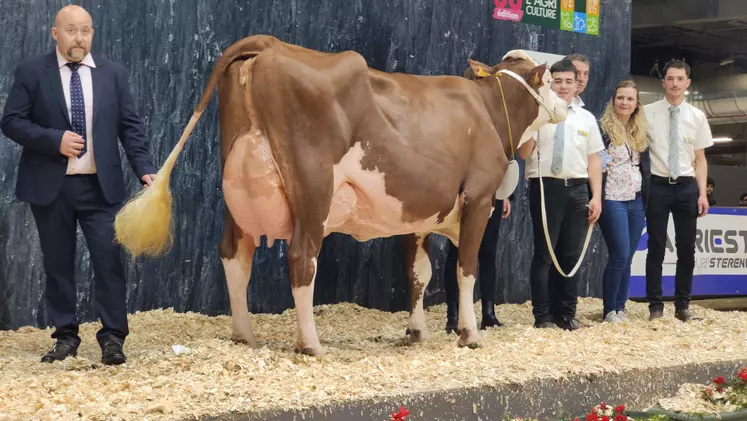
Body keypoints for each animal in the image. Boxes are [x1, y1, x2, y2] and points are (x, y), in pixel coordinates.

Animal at [114, 34, 568, 354]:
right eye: (548, 81)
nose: (567, 104)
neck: (488, 113)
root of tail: (270, 43)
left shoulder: (417, 215)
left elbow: (418, 274)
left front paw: (416, 331)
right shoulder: (478, 199)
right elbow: (466, 269)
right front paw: (469, 334)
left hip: (236, 186)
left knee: (233, 253)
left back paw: (244, 335)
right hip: (313, 188)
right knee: (302, 258)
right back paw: (310, 344)